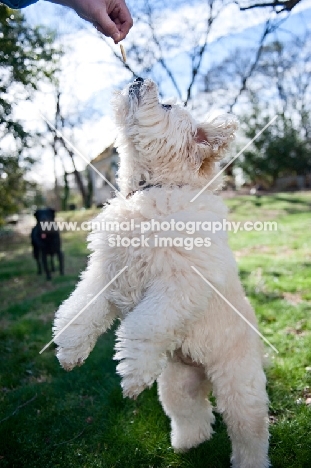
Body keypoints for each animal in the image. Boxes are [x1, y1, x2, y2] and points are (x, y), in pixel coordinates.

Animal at [53, 77, 270, 468]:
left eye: (167, 106)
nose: (139, 78)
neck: (151, 190)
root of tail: (203, 371)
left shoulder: (176, 287)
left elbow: (142, 327)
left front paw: (132, 376)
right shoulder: (104, 275)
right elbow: (78, 311)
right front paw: (70, 352)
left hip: (238, 386)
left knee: (250, 432)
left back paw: (249, 461)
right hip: (177, 385)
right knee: (194, 417)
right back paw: (185, 445)